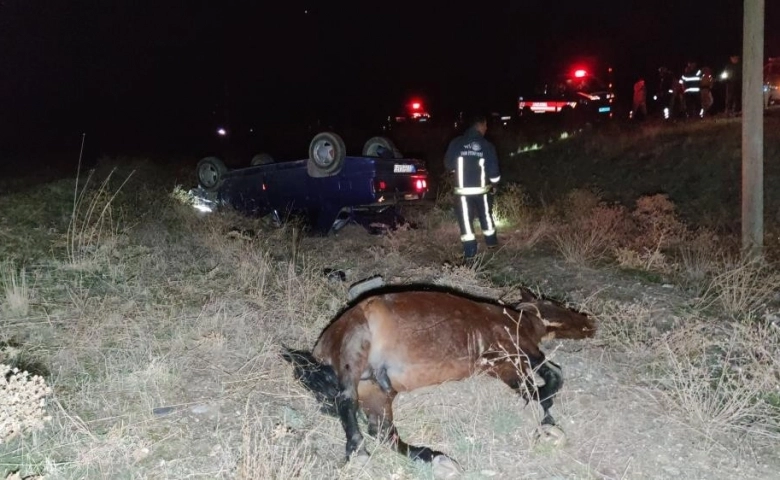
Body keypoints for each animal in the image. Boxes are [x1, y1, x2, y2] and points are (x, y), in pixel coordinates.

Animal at [284, 284, 596, 464]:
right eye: (557, 304)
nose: (590, 322)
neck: (516, 319)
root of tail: (319, 351)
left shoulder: (501, 364)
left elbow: (534, 386)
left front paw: (544, 417)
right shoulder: (516, 350)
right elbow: (550, 378)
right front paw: (546, 416)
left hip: (376, 388)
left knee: (383, 432)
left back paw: (434, 459)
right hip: (355, 346)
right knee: (346, 400)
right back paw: (358, 453)